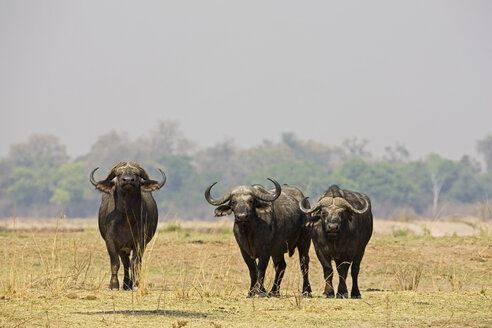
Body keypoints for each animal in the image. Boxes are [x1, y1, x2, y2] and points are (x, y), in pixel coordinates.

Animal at [88, 161, 165, 290]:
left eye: (136, 174)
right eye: (119, 174)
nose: (128, 180)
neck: (126, 219)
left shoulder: (140, 241)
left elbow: (135, 263)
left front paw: (136, 284)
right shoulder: (111, 241)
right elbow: (115, 263)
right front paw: (114, 285)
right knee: (125, 263)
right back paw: (125, 284)